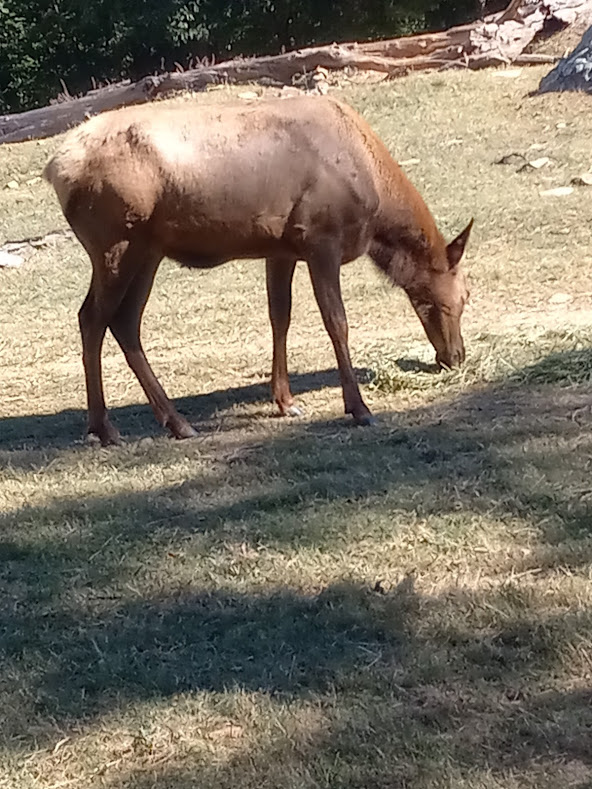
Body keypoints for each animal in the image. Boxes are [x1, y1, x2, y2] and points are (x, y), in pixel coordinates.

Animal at [43, 95, 472, 446]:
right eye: (462, 296)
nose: (456, 356)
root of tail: (55, 170)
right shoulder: (321, 239)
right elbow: (337, 322)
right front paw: (359, 408)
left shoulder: (281, 248)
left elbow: (279, 316)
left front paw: (285, 401)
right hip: (114, 243)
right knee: (92, 317)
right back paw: (104, 428)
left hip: (148, 250)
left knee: (124, 321)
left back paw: (175, 421)